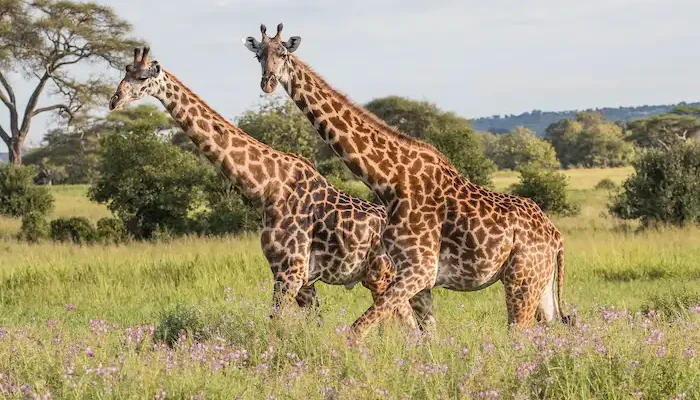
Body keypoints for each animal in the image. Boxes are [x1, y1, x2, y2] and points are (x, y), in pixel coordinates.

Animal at [108, 47, 416, 327]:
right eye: (125, 70)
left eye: (143, 77)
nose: (114, 100)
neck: (265, 188)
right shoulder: (298, 279)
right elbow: (313, 327)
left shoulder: (290, 273)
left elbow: (274, 327)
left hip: (382, 276)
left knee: (408, 322)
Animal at [243, 24, 573, 344]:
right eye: (258, 55)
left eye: (284, 54)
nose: (268, 83)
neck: (389, 180)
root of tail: (556, 236)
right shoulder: (414, 275)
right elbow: (425, 336)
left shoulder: (419, 270)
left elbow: (356, 330)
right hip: (539, 285)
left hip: (522, 280)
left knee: (519, 335)